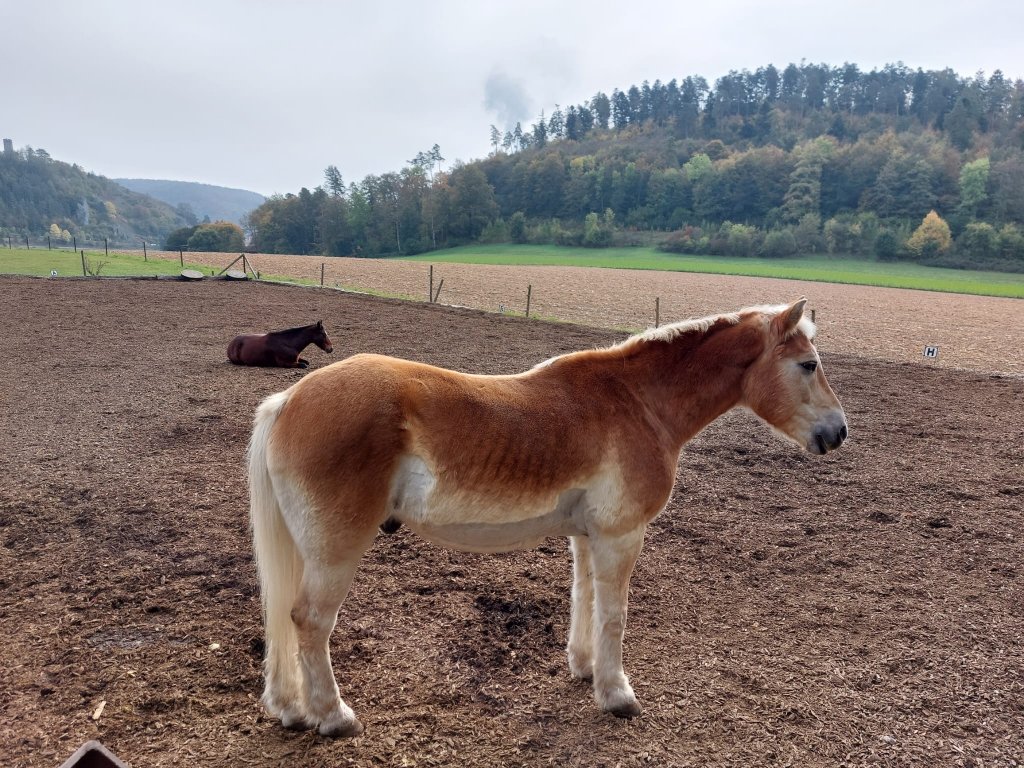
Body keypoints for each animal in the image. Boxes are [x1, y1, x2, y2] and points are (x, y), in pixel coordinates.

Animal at [245, 296, 847, 737]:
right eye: (808, 364)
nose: (838, 432)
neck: (637, 402)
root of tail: (289, 401)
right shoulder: (622, 536)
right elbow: (613, 614)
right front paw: (617, 694)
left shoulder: (588, 535)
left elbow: (584, 598)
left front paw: (584, 668)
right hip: (336, 551)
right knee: (309, 622)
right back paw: (333, 717)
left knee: (284, 615)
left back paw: (291, 708)